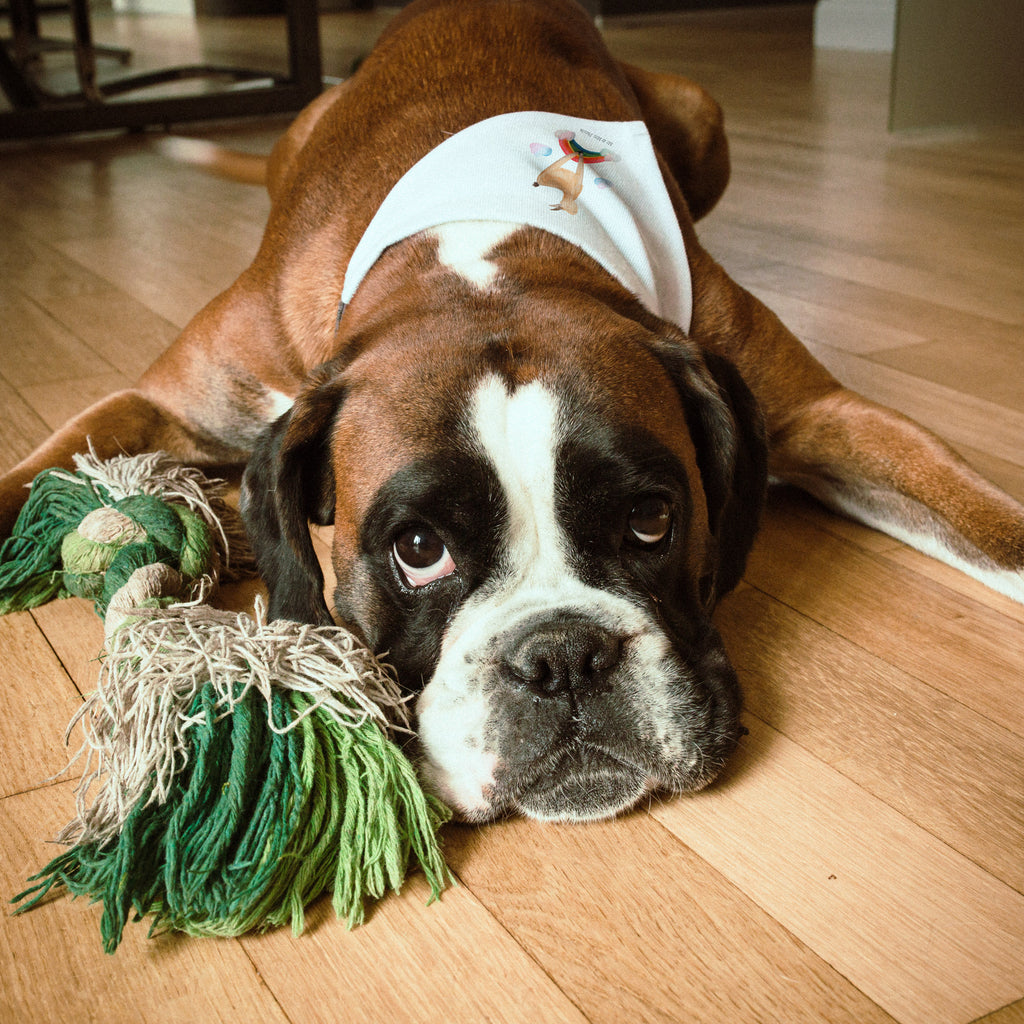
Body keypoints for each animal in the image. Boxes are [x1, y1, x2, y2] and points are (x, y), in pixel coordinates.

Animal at [2, 0, 1024, 819]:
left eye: (652, 519)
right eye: (418, 549)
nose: (563, 657)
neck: (485, 256)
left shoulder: (821, 416)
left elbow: (997, 532)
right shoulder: (158, 402)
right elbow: (30, 478)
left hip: (701, 113)